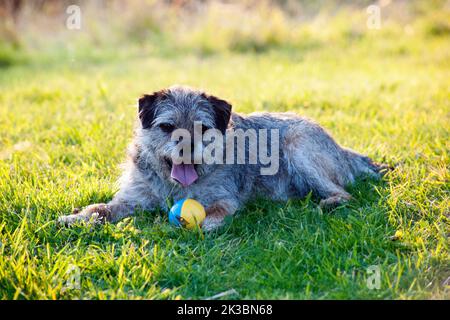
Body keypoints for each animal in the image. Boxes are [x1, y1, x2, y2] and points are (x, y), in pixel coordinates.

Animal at [58, 85, 384, 230]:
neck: (174, 186)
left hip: (296, 145)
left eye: (202, 128)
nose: (187, 148)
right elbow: (101, 208)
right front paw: (76, 217)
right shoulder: (132, 199)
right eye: (167, 127)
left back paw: (327, 203)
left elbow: (209, 216)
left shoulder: (225, 201)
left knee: (345, 194)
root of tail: (345, 150)